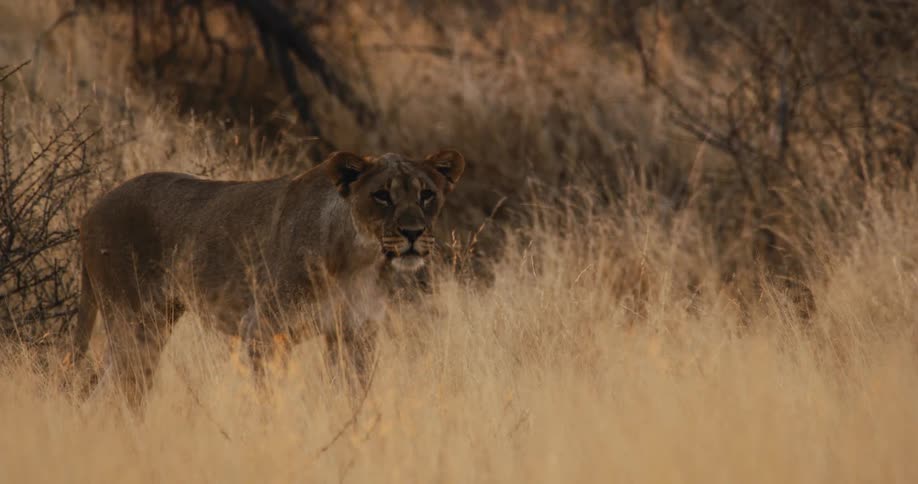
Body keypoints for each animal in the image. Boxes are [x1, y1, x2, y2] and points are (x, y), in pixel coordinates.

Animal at [68, 150, 465, 406]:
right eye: (381, 195)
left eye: (427, 195)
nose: (413, 232)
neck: (359, 259)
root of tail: (90, 209)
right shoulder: (263, 330)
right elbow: (270, 401)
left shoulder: (355, 333)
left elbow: (352, 396)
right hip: (133, 321)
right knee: (118, 390)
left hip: (152, 322)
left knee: (104, 390)